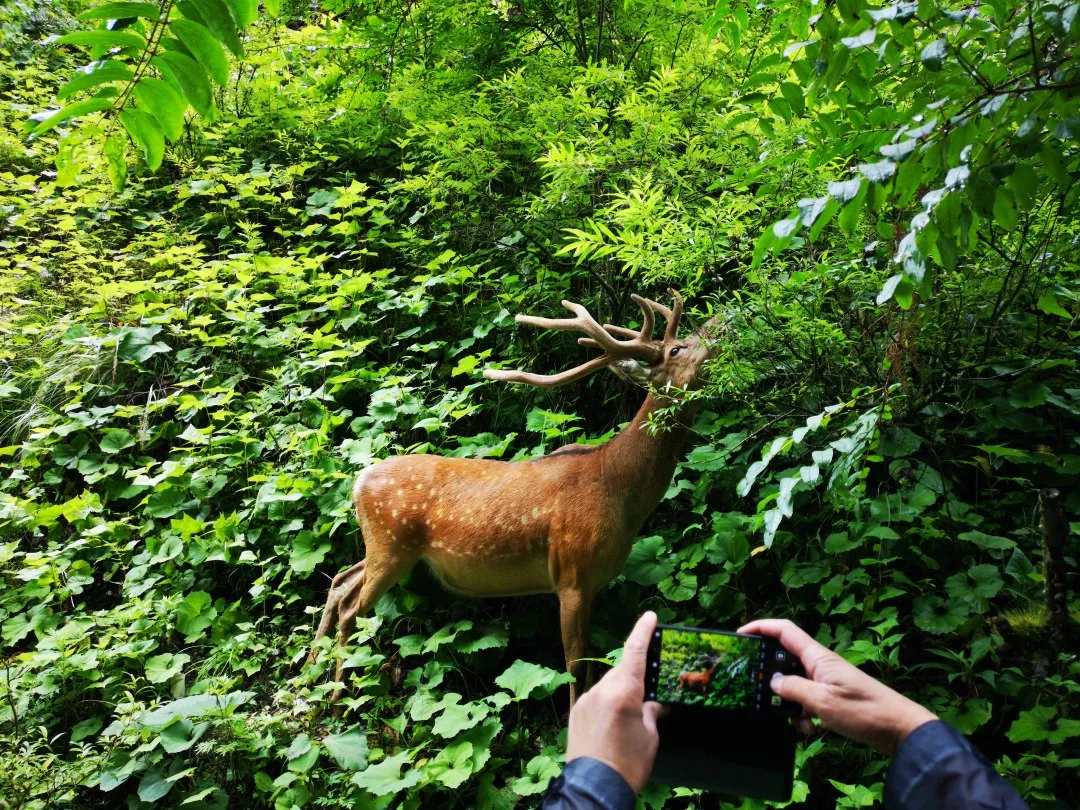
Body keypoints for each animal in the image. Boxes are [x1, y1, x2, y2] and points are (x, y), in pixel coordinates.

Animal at [308, 290, 720, 706]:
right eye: (676, 348)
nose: (717, 324)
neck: (620, 493)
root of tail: (359, 481)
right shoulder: (572, 574)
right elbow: (575, 667)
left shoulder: (593, 583)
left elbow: (593, 664)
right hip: (392, 543)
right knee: (351, 608)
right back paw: (336, 698)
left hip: (385, 545)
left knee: (340, 580)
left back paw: (312, 677)